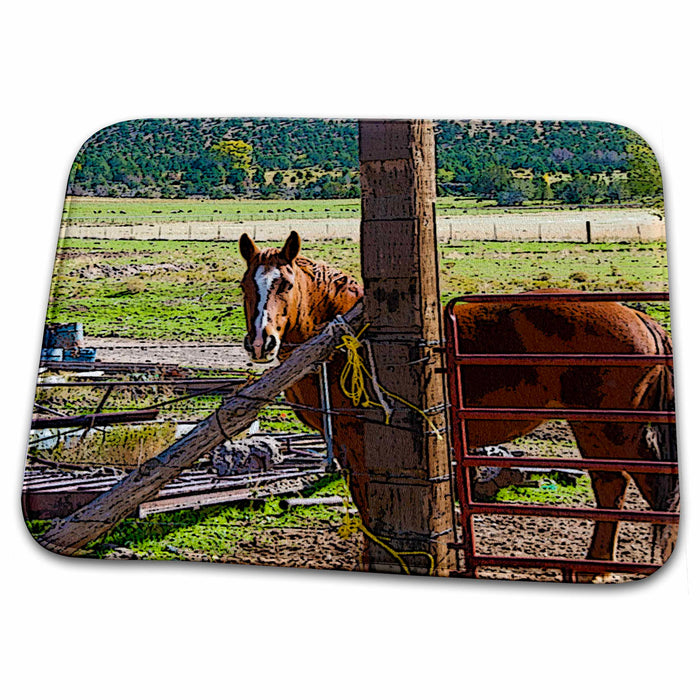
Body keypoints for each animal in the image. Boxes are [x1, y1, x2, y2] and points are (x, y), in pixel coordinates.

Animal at [238, 232, 676, 576]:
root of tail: (642, 319)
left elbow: (367, 502)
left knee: (624, 487)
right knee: (615, 486)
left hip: (606, 429)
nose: (262, 342)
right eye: (246, 285)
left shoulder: (359, 442)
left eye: (285, 285)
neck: (346, 340)